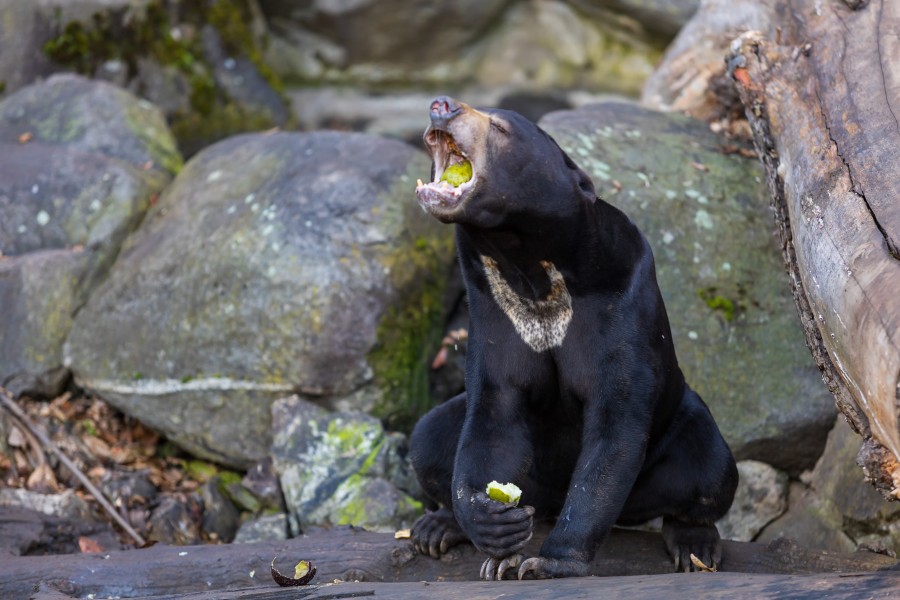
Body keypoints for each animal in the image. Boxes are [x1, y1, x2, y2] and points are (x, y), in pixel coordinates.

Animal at [408, 96, 740, 580]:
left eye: (501, 127)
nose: (441, 105)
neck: (530, 268)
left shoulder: (622, 308)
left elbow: (614, 431)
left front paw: (549, 563)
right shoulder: (493, 315)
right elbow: (493, 415)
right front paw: (492, 527)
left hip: (682, 424)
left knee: (710, 467)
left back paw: (694, 544)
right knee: (426, 437)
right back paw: (436, 527)